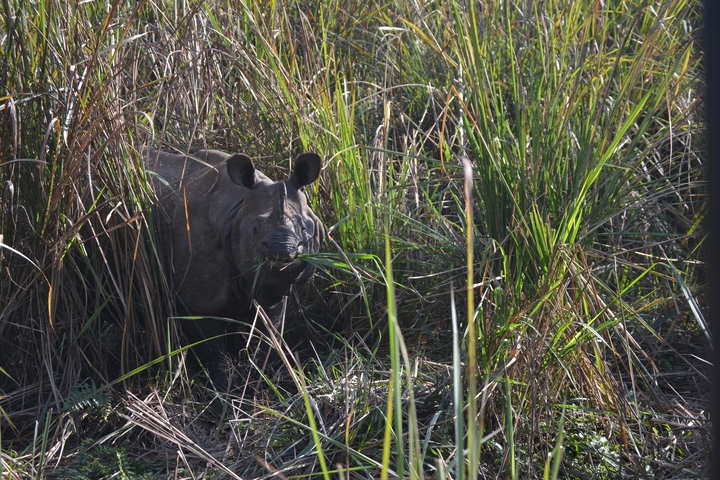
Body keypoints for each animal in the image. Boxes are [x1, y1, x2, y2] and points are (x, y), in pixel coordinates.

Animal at [145, 148, 324, 382]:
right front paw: (227, 386)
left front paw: (256, 377)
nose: (282, 250)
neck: (236, 209)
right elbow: (211, 349)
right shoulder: (195, 298)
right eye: (254, 230)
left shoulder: (273, 289)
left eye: (304, 229)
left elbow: (269, 335)